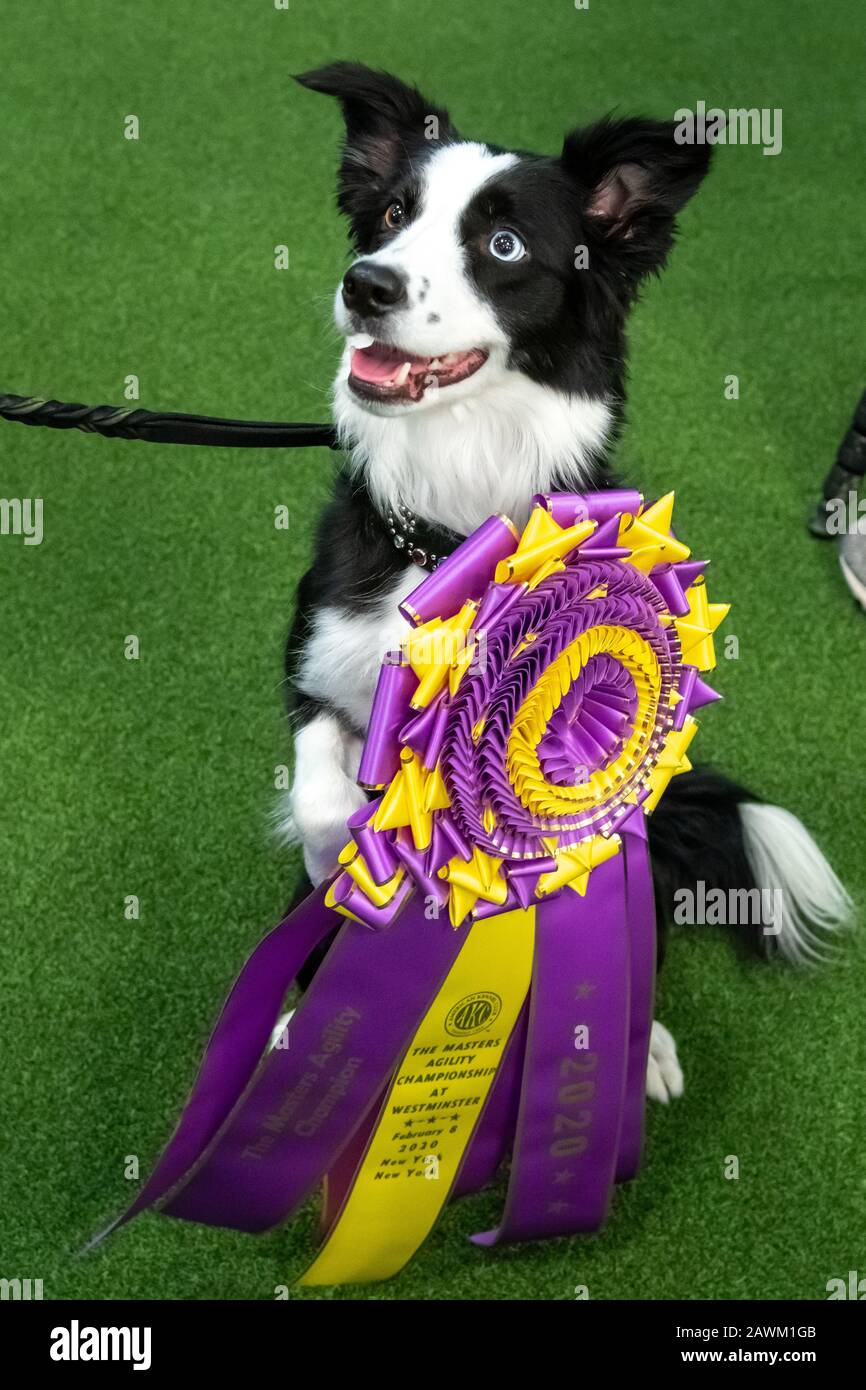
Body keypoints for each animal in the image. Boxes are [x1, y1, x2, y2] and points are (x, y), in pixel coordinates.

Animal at [279, 65, 856, 1100]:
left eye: (502, 244)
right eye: (391, 214)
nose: (365, 283)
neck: (455, 532)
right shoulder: (313, 658)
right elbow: (320, 797)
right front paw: (345, 864)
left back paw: (645, 1045)